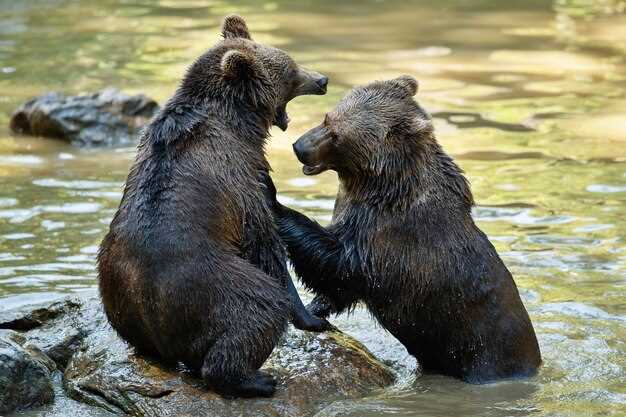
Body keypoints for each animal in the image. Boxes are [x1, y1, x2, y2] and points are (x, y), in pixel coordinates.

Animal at [97, 13, 330, 396]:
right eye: (291, 70)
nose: (322, 79)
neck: (238, 120)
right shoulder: (240, 174)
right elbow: (264, 242)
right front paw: (313, 317)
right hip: (215, 284)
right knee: (258, 308)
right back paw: (256, 379)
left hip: (115, 291)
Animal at [260, 75, 540, 384]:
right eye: (326, 117)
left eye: (336, 134)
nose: (299, 147)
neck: (381, 187)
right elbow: (337, 286)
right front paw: (315, 309)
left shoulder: (389, 235)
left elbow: (340, 264)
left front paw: (273, 197)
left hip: (484, 352)